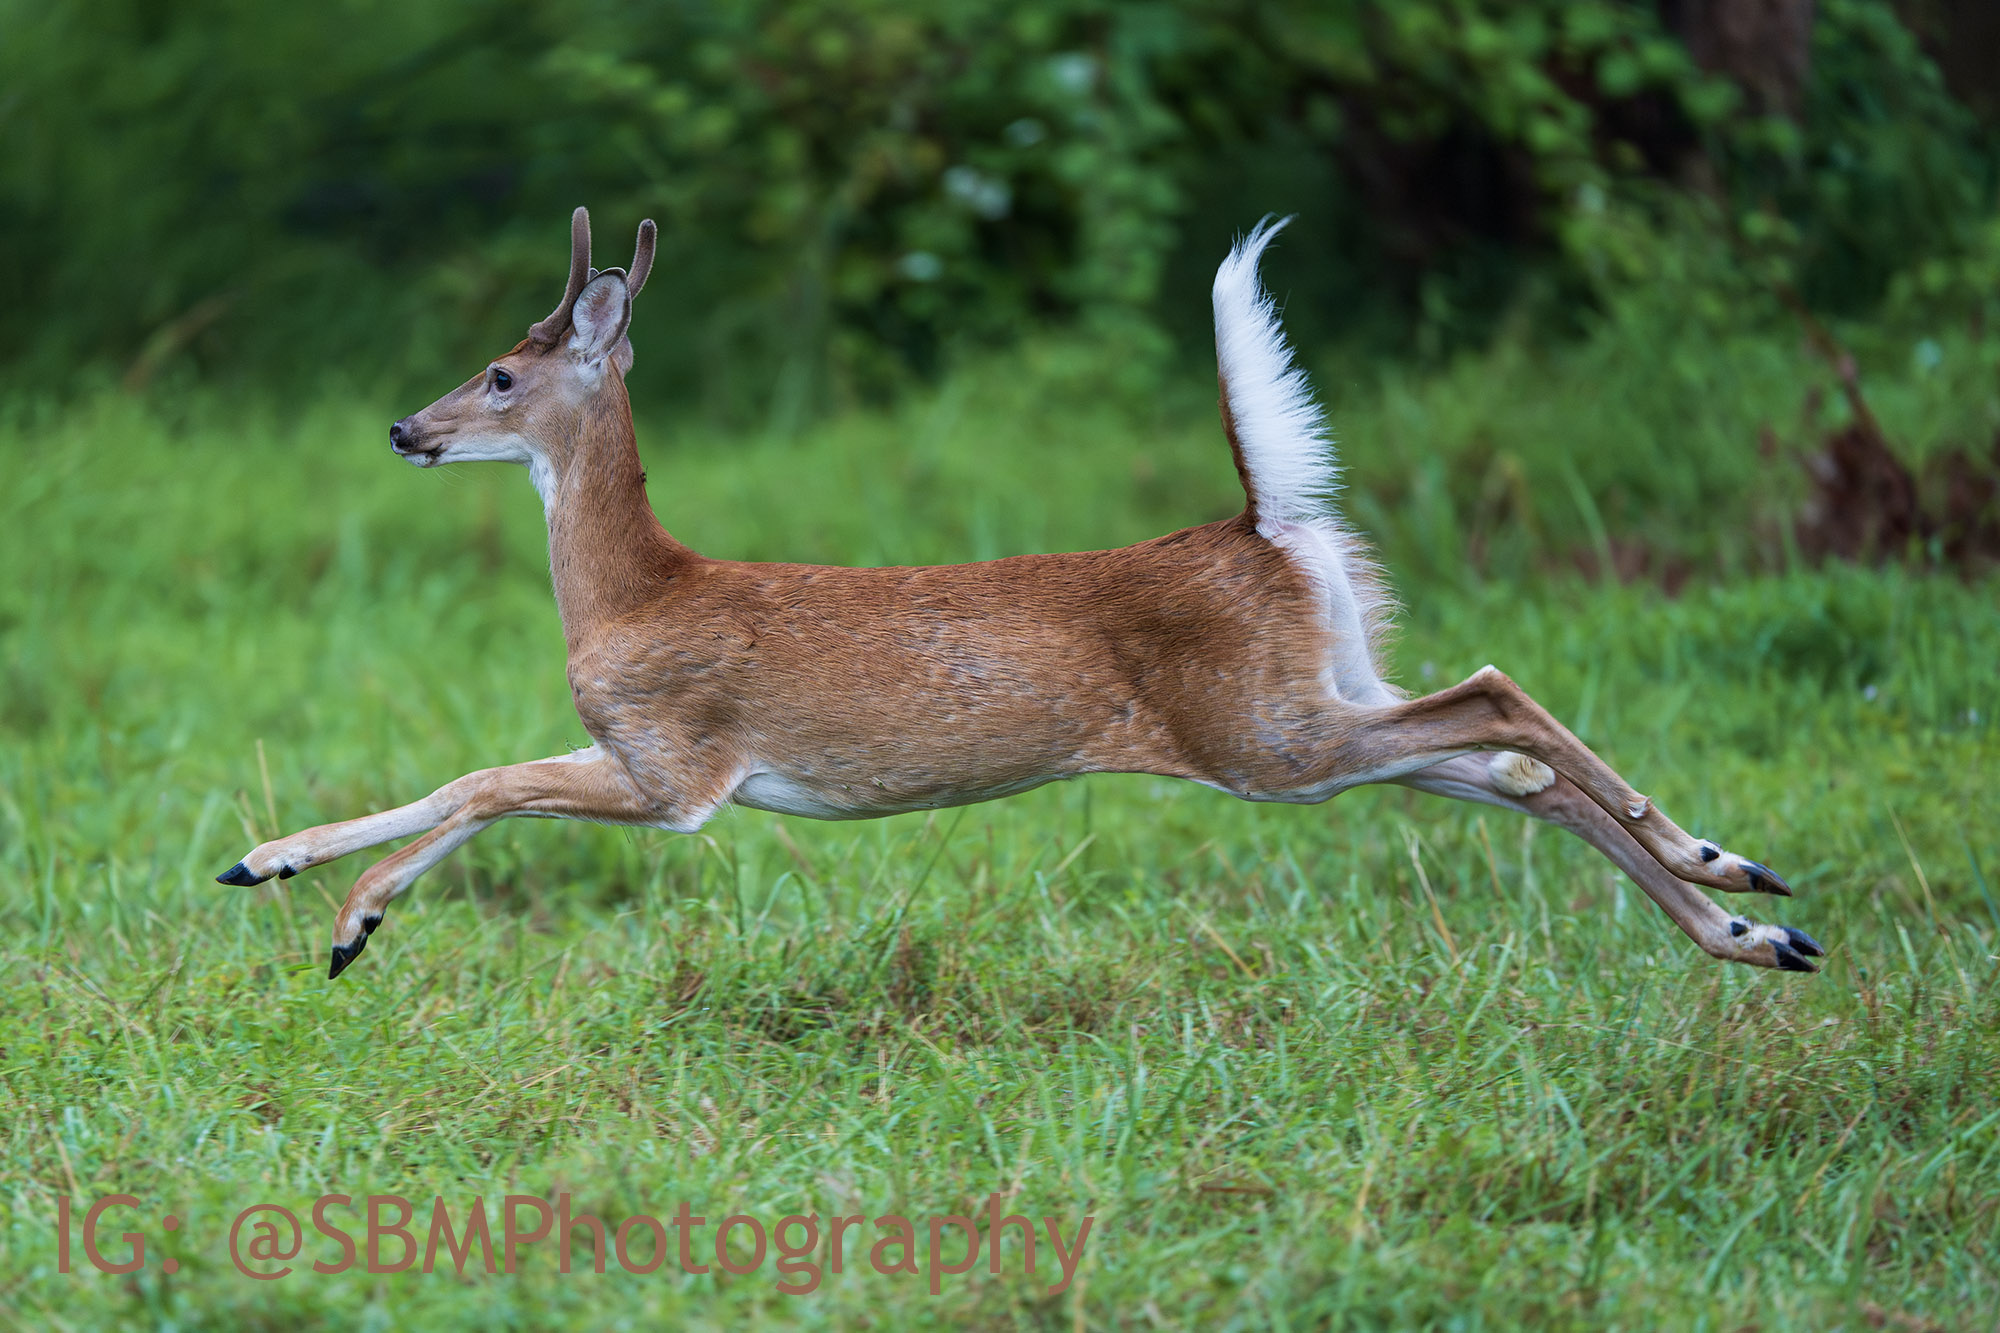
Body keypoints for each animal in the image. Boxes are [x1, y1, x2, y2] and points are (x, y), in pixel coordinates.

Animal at [217, 207, 1826, 981]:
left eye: (500, 371)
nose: (404, 427)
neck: (633, 595)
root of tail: (1265, 526)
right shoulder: (641, 757)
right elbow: (465, 781)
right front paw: (286, 880)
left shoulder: (678, 768)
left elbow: (484, 782)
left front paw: (332, 908)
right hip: (1319, 710)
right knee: (1505, 762)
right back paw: (1754, 924)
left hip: (1268, 733)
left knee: (1496, 696)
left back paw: (1730, 869)